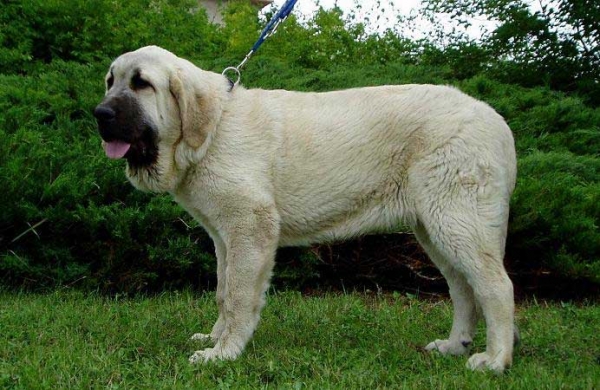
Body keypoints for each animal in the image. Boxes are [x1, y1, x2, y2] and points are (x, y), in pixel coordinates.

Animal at [94, 45, 516, 372]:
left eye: (141, 84)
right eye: (110, 81)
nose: (100, 114)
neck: (212, 128)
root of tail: (496, 119)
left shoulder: (251, 229)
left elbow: (238, 296)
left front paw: (224, 353)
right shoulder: (225, 238)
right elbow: (222, 290)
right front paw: (215, 337)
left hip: (458, 223)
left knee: (496, 287)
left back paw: (496, 359)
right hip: (434, 229)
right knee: (463, 289)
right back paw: (455, 345)